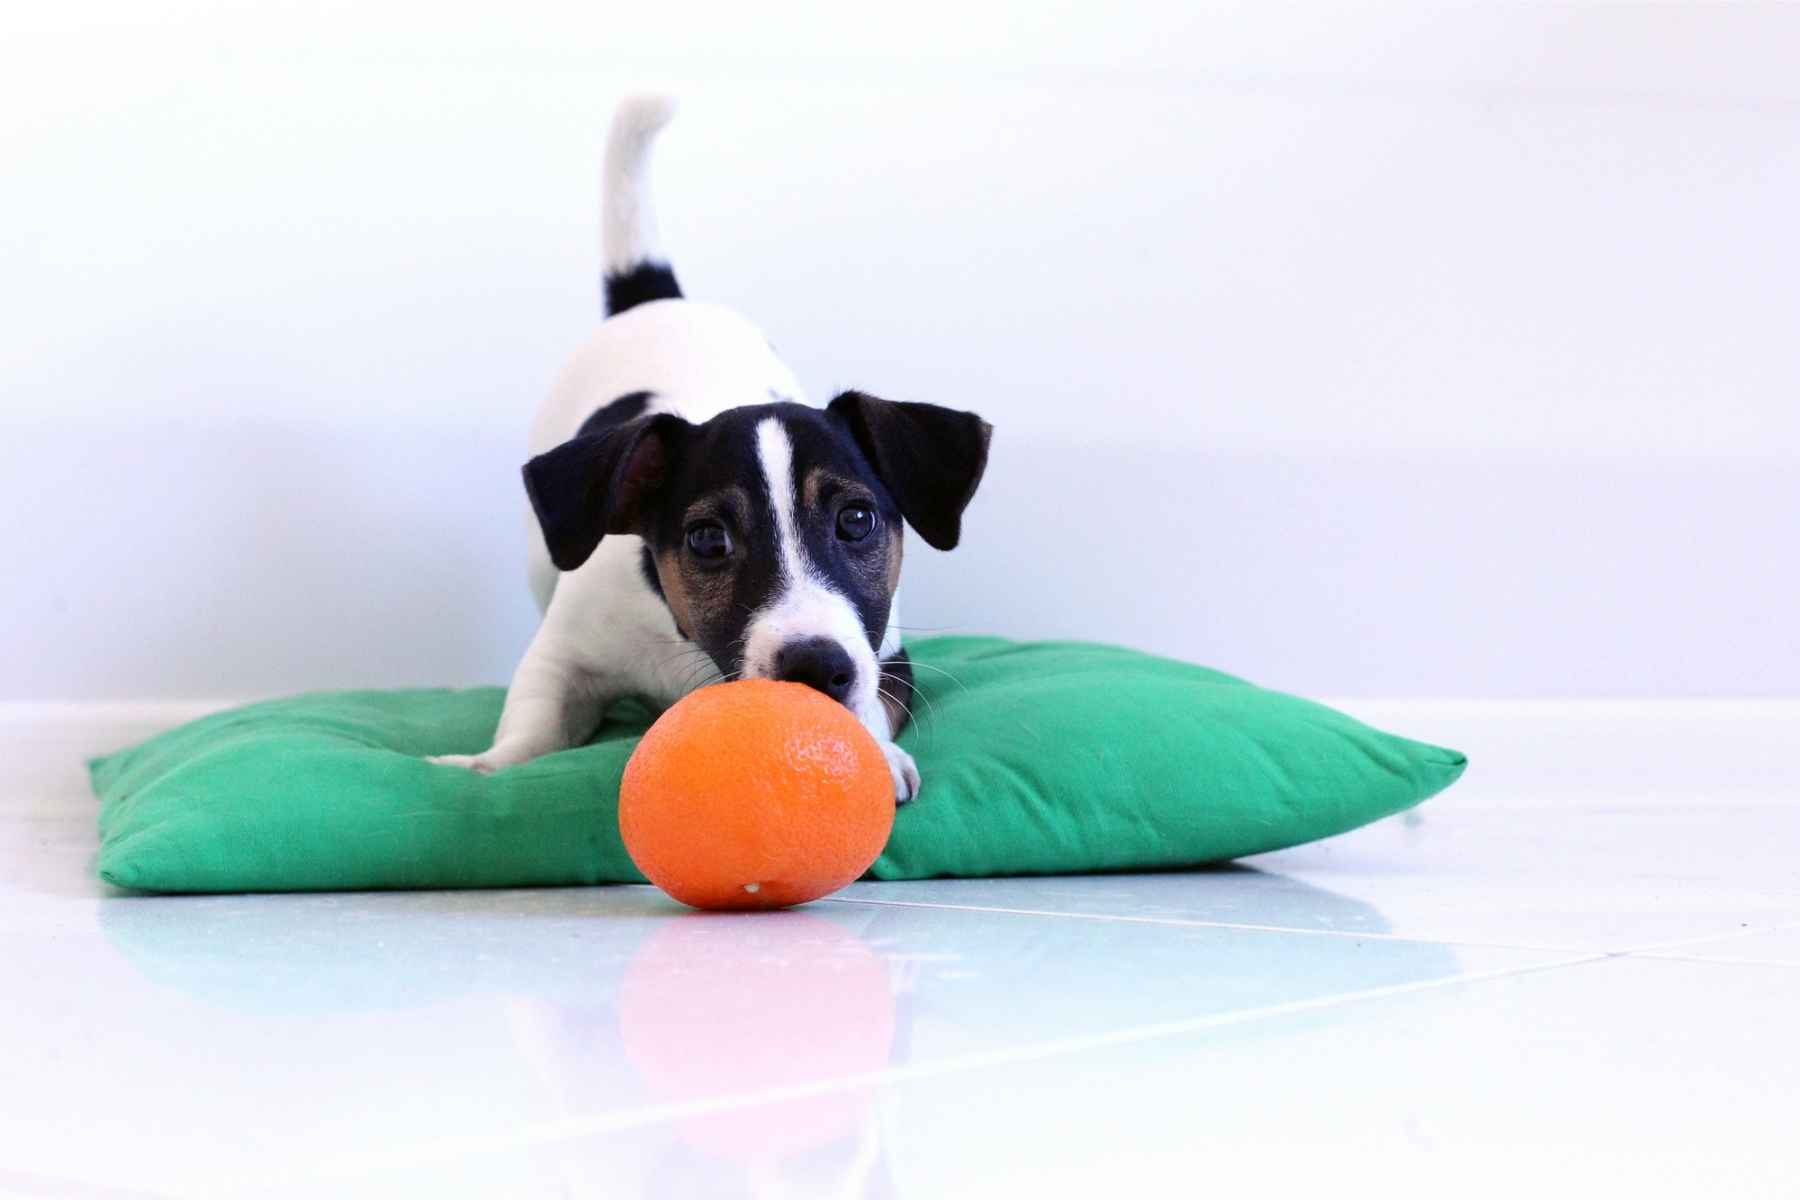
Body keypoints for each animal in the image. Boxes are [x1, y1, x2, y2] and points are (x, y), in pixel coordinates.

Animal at [432, 96, 1000, 805]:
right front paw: (487, 765)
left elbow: (871, 702)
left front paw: (876, 751)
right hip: (544, 559)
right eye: (707, 540)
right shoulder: (565, 650)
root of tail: (657, 299)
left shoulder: (887, 656)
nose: (816, 667)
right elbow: (533, 724)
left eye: (857, 520)